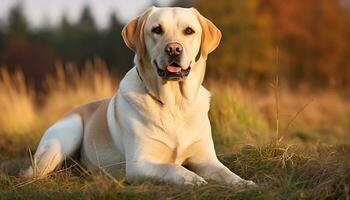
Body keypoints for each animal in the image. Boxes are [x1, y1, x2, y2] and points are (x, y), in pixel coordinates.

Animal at [23, 7, 256, 187]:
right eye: (157, 30)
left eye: (189, 31)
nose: (173, 49)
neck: (174, 104)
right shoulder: (139, 164)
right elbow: (174, 168)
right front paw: (194, 179)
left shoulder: (206, 159)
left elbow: (226, 172)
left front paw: (244, 183)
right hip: (66, 136)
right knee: (32, 175)